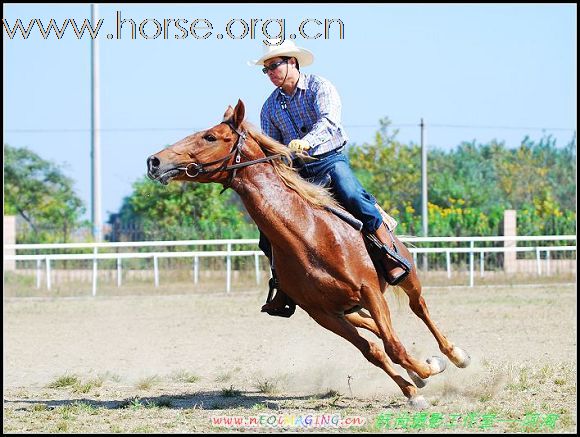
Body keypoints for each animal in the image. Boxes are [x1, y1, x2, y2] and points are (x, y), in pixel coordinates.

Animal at [147, 100, 468, 408]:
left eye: (210, 136)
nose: (155, 161)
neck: (311, 236)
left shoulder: (370, 293)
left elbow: (393, 345)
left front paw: (429, 370)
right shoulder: (322, 314)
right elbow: (374, 351)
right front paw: (413, 388)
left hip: (406, 278)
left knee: (419, 307)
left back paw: (454, 355)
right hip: (346, 309)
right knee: (372, 326)